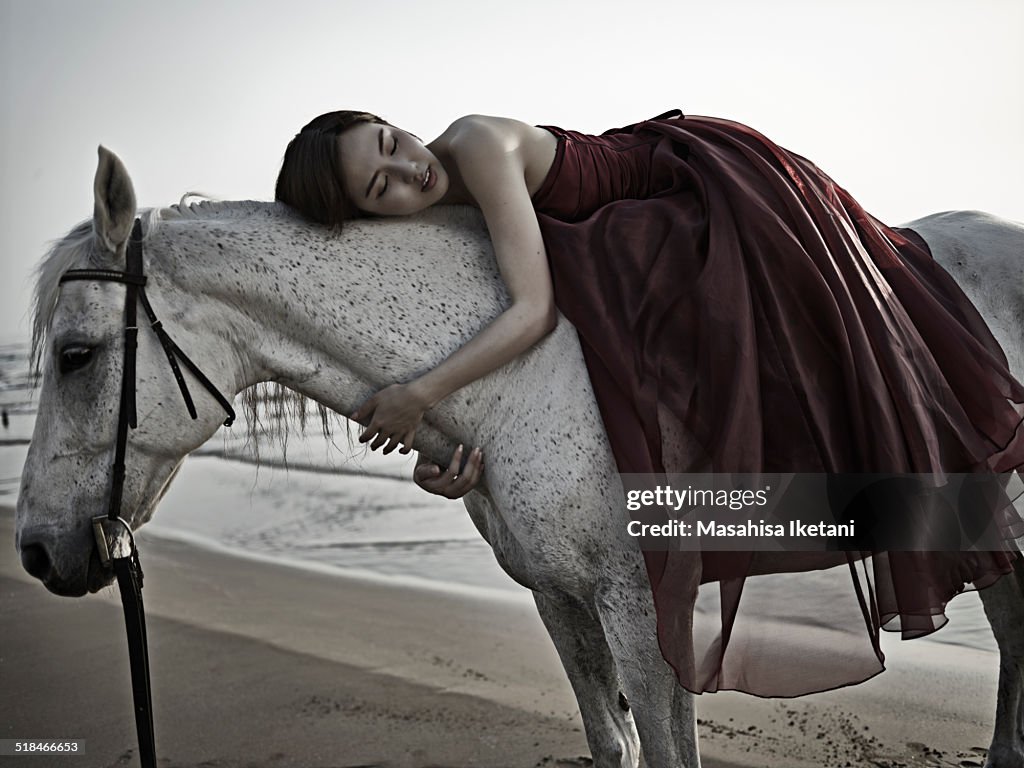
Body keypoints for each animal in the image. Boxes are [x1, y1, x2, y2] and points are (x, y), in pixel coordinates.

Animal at [14, 150, 1024, 768]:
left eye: (76, 356)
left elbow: (667, 751)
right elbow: (614, 741)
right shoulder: (559, 596)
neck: (523, 369)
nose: (33, 550)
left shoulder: (639, 603)